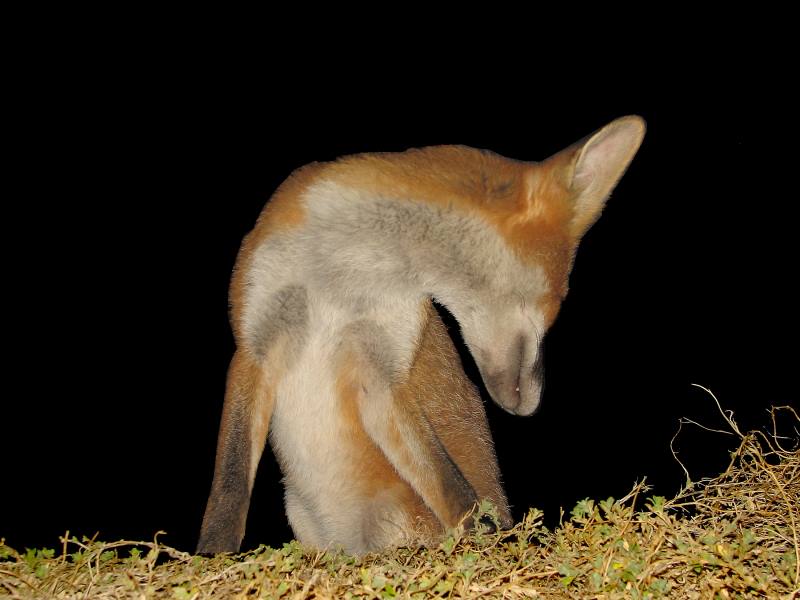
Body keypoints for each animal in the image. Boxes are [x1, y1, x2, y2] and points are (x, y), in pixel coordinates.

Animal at [197, 116, 646, 555]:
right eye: (558, 299)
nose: (533, 406)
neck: (341, 277)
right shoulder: (253, 344)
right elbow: (228, 491)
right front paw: (212, 556)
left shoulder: (382, 370)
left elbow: (449, 486)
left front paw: (480, 548)